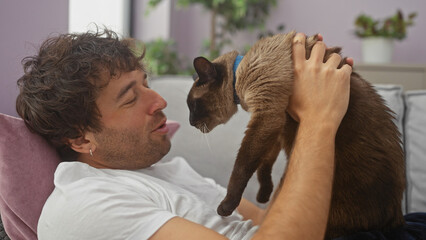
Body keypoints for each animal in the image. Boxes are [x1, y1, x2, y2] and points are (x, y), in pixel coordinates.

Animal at [187, 31, 406, 238]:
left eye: (193, 106)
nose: (190, 122)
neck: (239, 76)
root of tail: (396, 218)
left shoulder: (267, 117)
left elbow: (242, 167)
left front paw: (226, 207)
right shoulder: (276, 125)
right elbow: (264, 165)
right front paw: (264, 195)